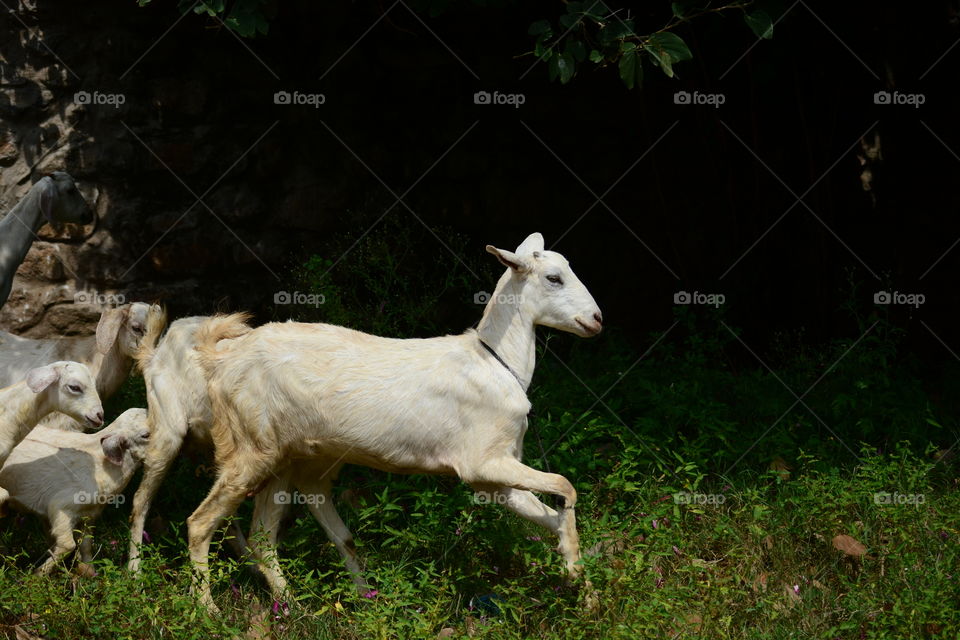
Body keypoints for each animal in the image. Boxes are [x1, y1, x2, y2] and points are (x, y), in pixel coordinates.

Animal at [0, 408, 149, 574]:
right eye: (146, 435)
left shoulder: (90, 515)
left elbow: (86, 545)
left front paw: (89, 572)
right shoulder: (60, 507)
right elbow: (68, 545)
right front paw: (38, 573)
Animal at [188, 233, 603, 611]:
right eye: (553, 277)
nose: (596, 319)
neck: (496, 364)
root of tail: (221, 358)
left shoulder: (493, 477)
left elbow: (554, 513)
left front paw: (586, 595)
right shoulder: (481, 460)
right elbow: (566, 486)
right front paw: (576, 580)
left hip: (285, 458)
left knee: (262, 536)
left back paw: (295, 606)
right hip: (248, 448)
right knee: (200, 522)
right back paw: (209, 611)